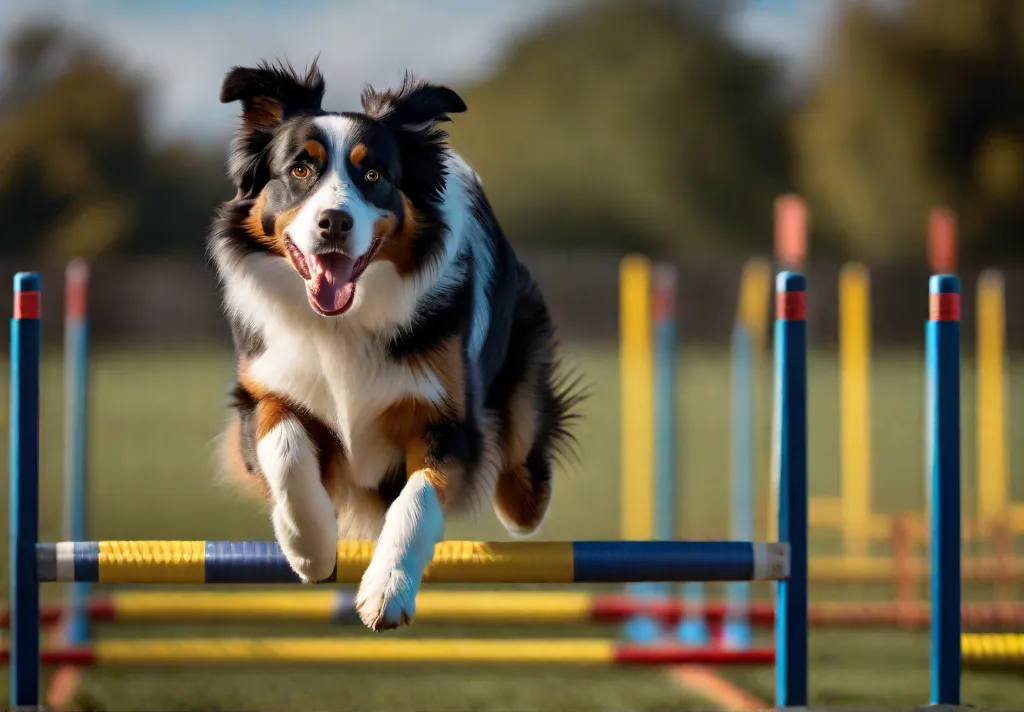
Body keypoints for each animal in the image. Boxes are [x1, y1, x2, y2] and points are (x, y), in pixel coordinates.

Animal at [207, 59, 585, 631]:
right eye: (299, 170)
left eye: (374, 176)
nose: (334, 222)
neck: (345, 320)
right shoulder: (262, 390)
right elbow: (286, 448)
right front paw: (311, 547)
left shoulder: (445, 418)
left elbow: (417, 501)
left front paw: (387, 590)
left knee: (522, 467)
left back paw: (521, 501)